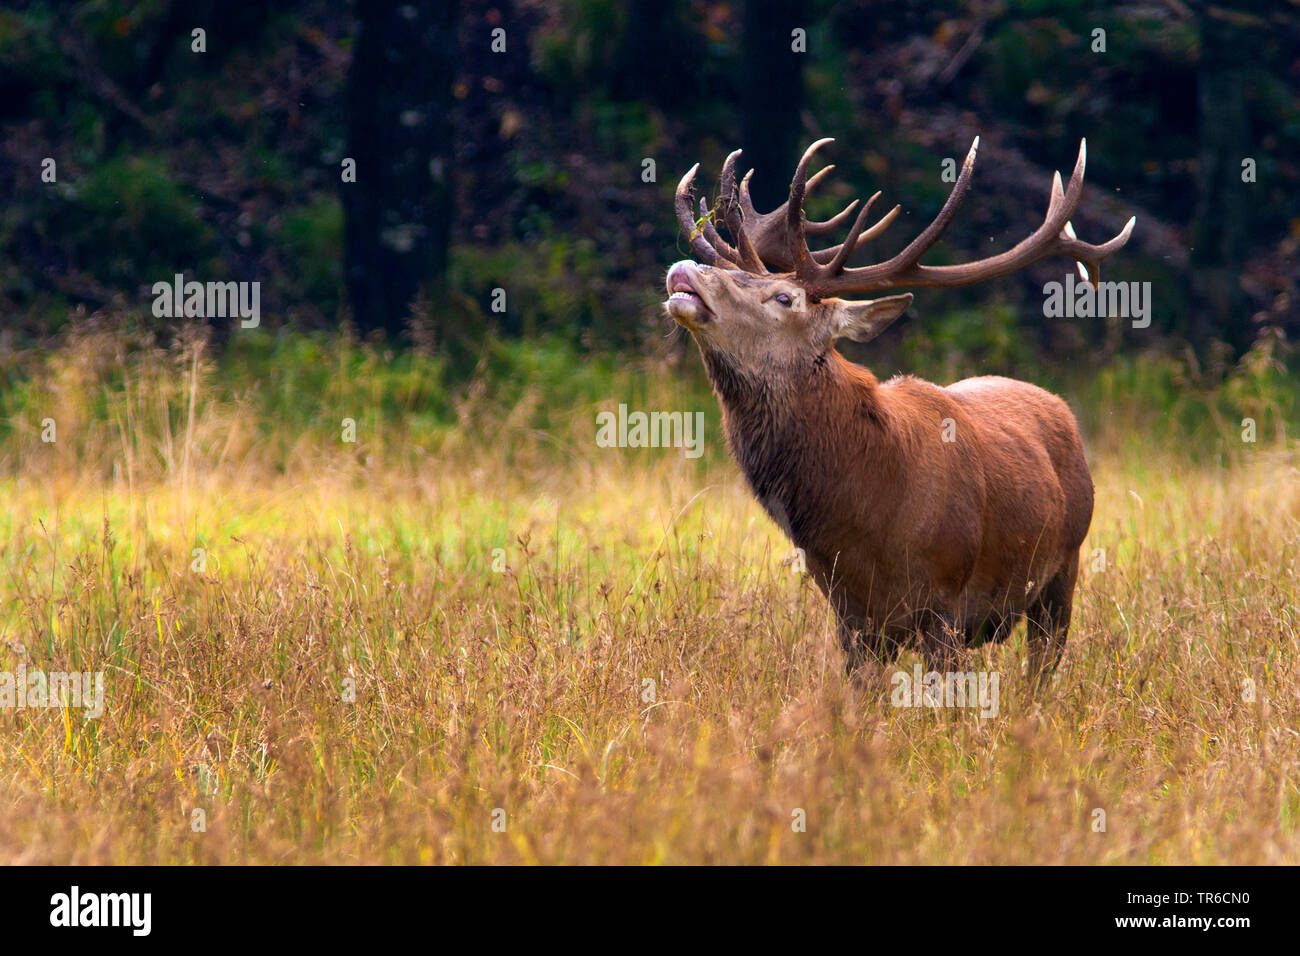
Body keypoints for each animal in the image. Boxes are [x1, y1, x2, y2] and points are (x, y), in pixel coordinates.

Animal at [665, 137, 1135, 682]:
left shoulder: (947, 603)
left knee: (1042, 667)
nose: (687, 269)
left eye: (785, 297)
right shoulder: (850, 615)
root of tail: (1059, 406)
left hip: (1067, 565)